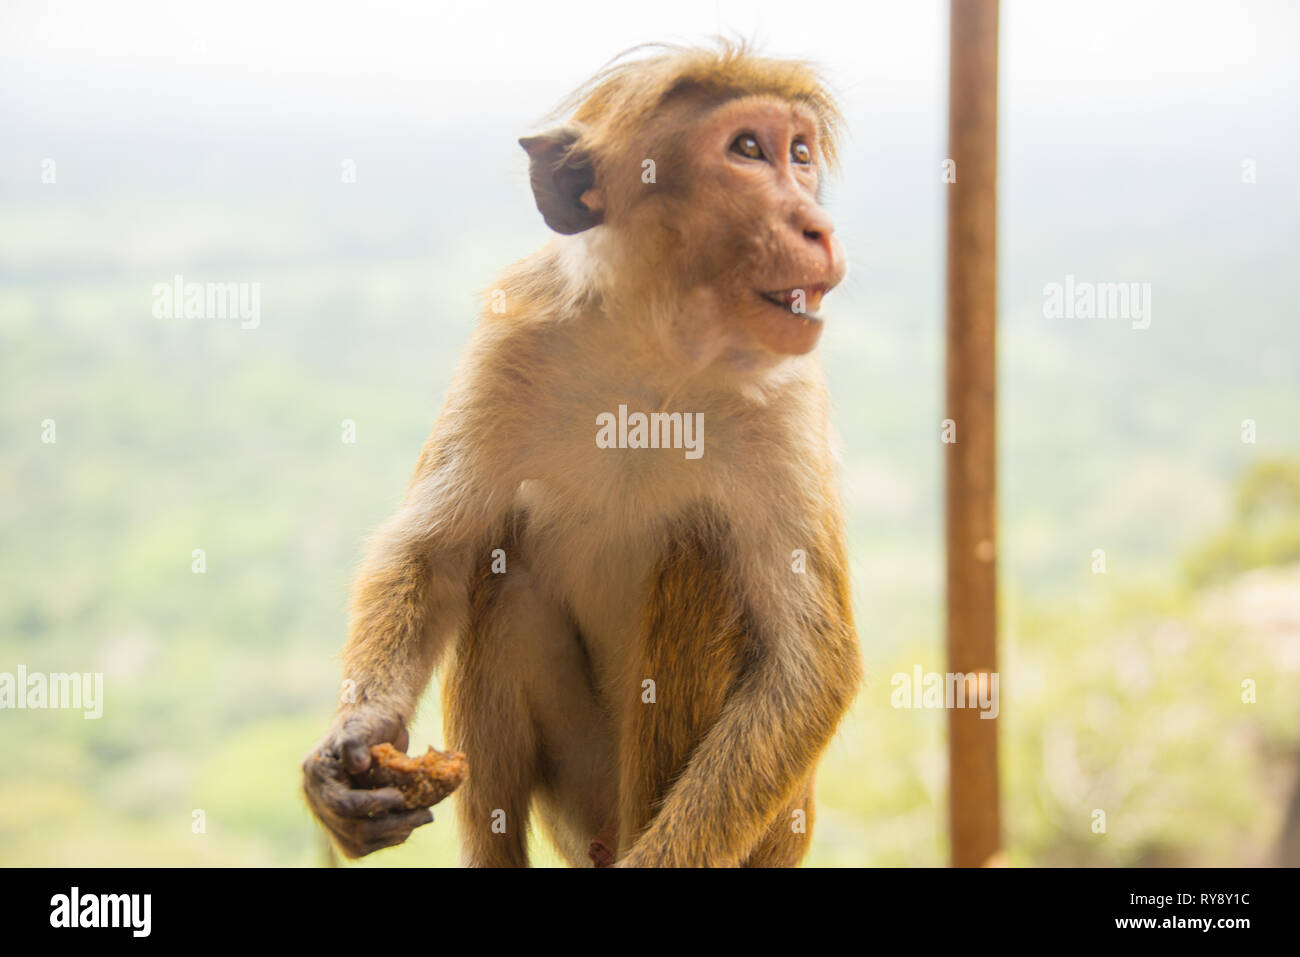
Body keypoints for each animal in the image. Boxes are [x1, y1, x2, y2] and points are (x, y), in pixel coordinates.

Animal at [299, 41, 857, 868]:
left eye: (800, 155)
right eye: (748, 151)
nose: (819, 226)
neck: (654, 356)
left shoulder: (789, 405)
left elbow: (809, 665)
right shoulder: (511, 340)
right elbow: (435, 550)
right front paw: (353, 740)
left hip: (760, 831)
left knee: (700, 557)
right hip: (574, 797)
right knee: (506, 574)